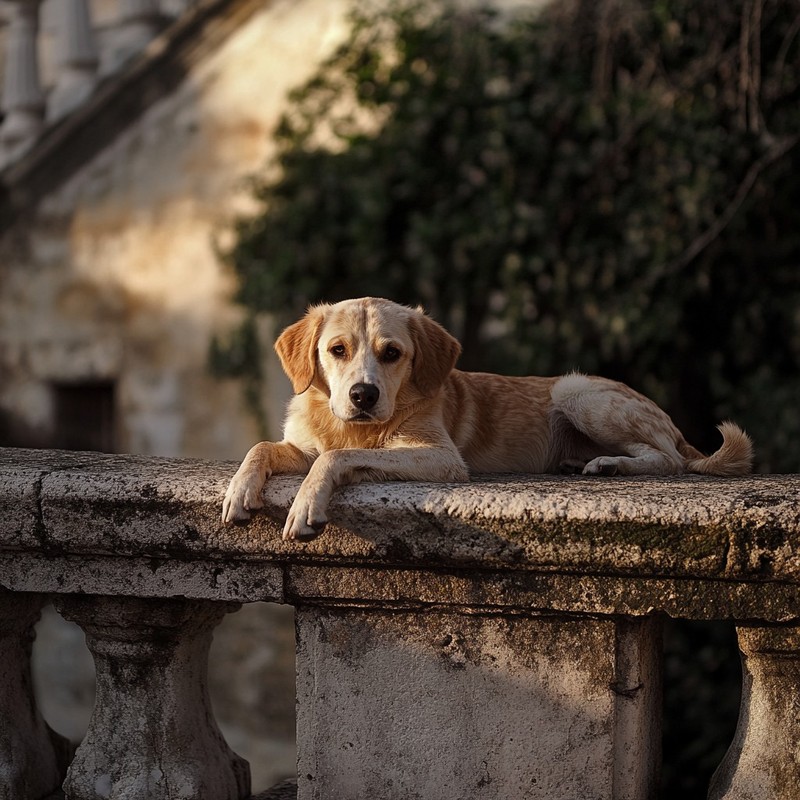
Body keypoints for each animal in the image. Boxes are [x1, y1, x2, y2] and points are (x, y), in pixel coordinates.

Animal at [222, 296, 752, 540]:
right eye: (337, 350)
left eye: (392, 353)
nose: (362, 394)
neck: (356, 426)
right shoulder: (302, 444)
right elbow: (262, 447)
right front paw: (239, 490)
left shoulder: (441, 458)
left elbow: (335, 458)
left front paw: (305, 504)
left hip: (577, 390)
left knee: (668, 459)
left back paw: (612, 466)